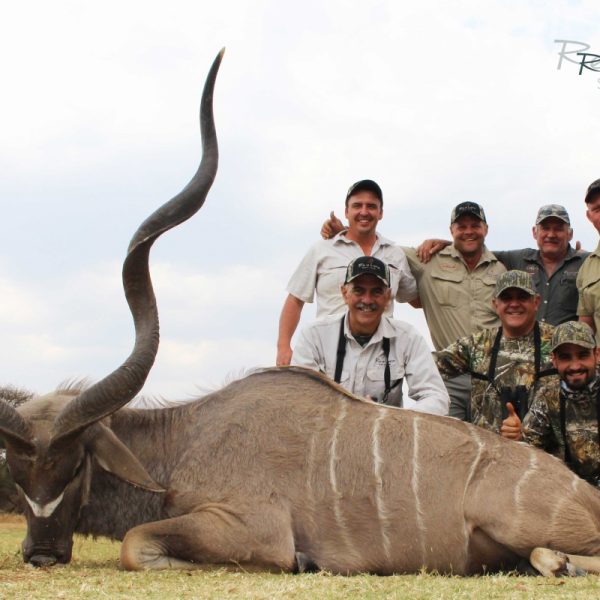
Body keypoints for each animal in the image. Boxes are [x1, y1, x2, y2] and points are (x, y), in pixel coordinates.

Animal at [1, 48, 600, 577]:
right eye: (17, 469)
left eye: (74, 463)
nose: (40, 554)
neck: (188, 437)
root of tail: (583, 492)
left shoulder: (253, 527)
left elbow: (135, 543)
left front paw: (304, 560)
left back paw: (559, 561)